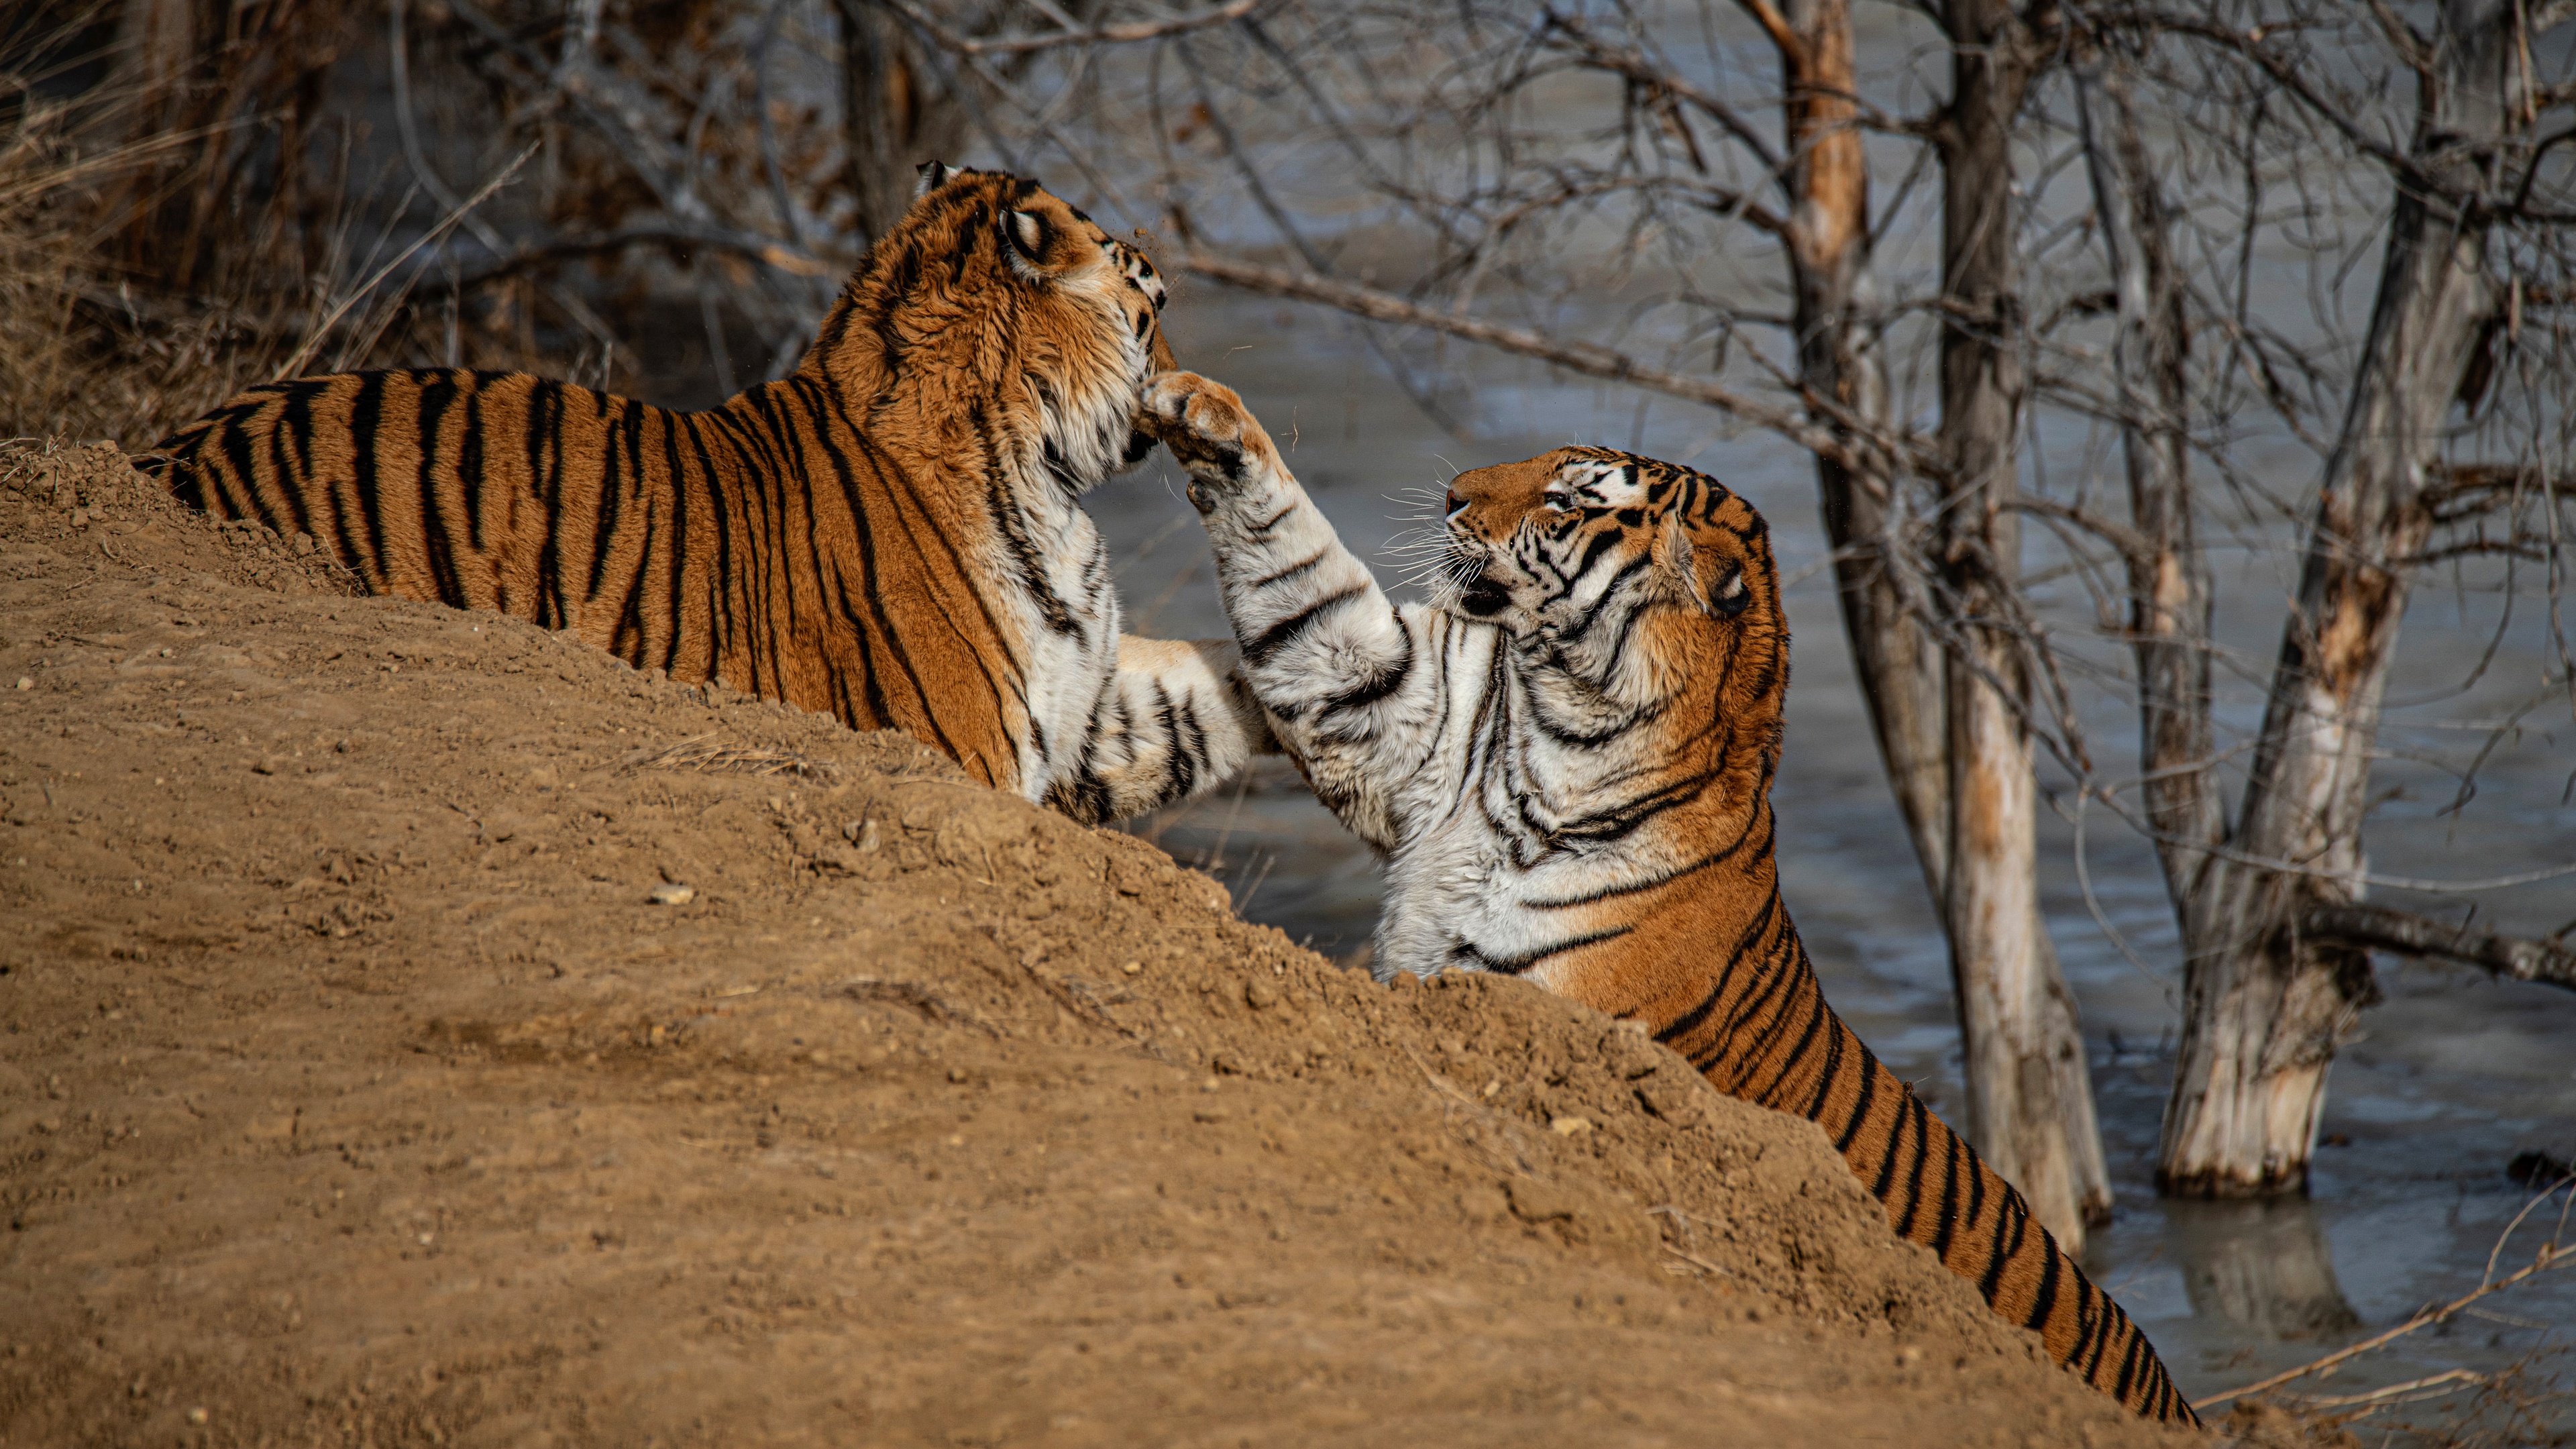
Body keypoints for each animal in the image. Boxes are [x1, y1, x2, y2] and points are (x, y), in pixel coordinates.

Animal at [144, 162, 1267, 820]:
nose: (1181, 382)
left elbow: (1204, 688)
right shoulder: (967, 756)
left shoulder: (1085, 699)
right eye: (1156, 305)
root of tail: (171, 458)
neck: (1039, 475)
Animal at [1143, 363, 2194, 1423]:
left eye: (1566, 500)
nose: (1451, 497)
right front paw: (1199, 408)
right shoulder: (1398, 700)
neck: (1556, 734)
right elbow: (1306, 590)